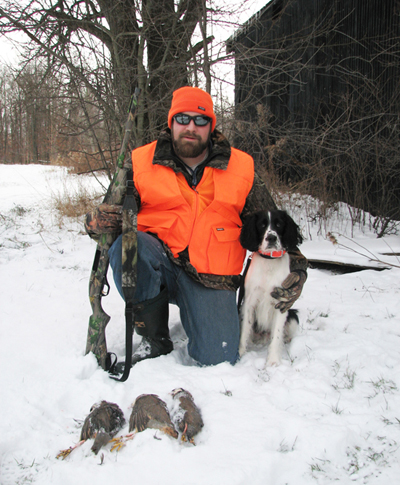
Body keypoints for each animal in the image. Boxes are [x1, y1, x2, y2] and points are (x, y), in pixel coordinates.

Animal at [238, 210, 304, 364]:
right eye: (262, 225)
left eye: (279, 224)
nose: (271, 238)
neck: (269, 261)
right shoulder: (249, 303)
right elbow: (244, 331)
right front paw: (240, 353)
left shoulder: (281, 303)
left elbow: (277, 335)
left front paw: (273, 361)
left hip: (292, 316)